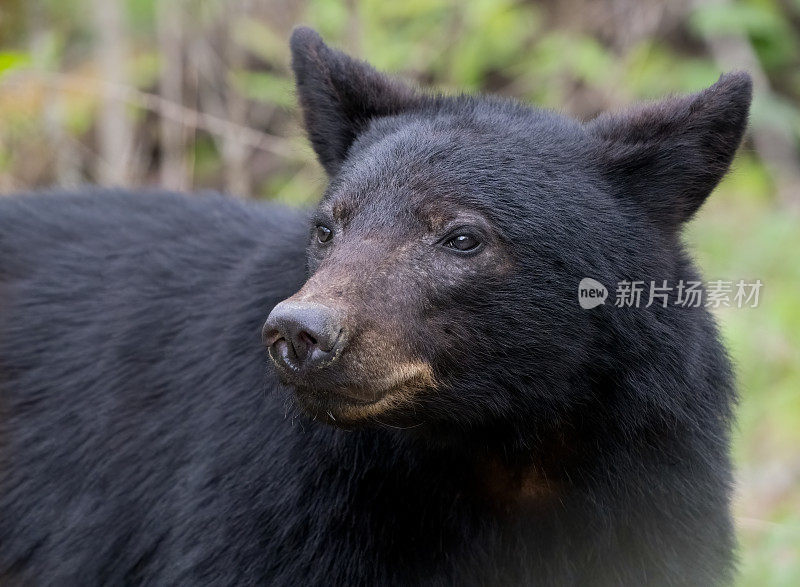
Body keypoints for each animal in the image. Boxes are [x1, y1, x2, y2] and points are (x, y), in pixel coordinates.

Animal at [0, 26, 752, 584]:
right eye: (327, 226)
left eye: (462, 236)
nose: (299, 333)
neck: (499, 450)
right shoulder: (282, 506)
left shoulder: (651, 484)